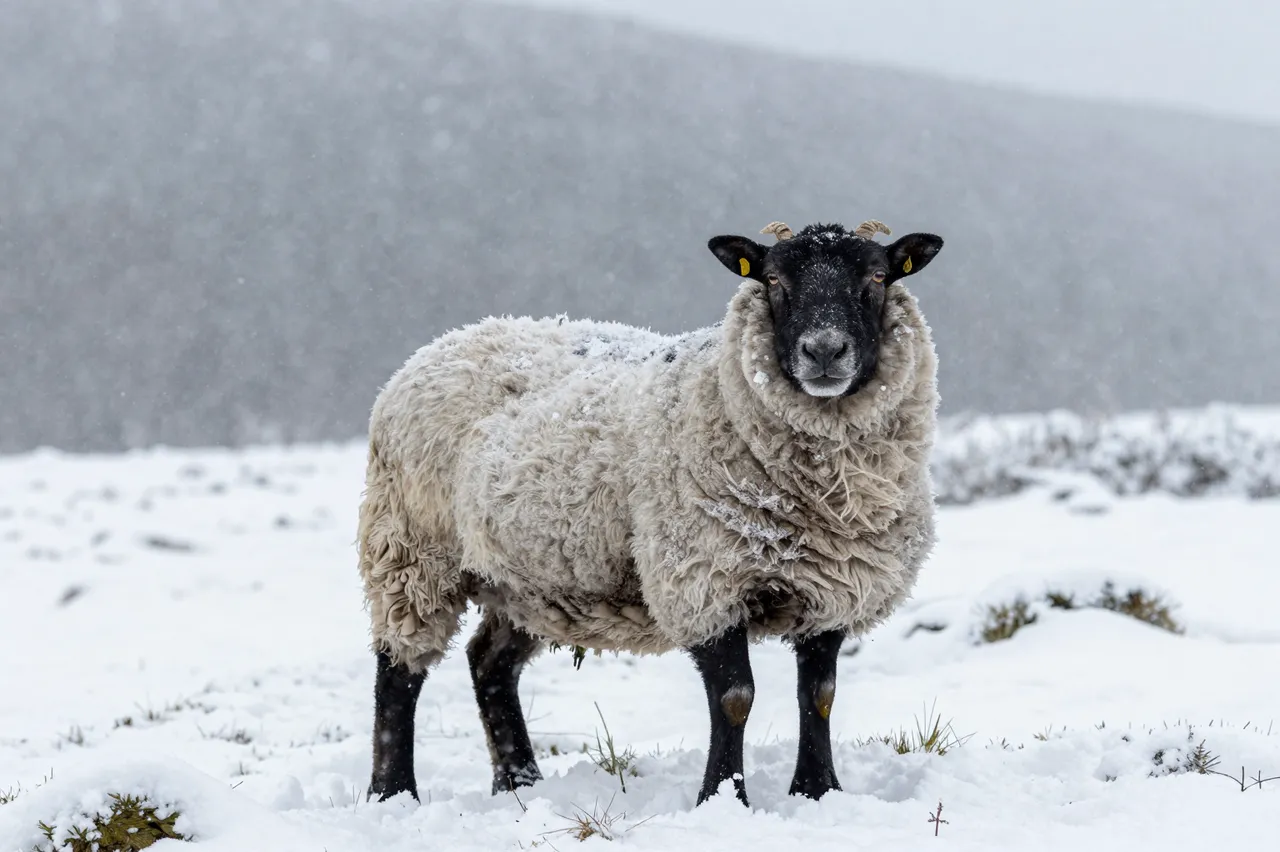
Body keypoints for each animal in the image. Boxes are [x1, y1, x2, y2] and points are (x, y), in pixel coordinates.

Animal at [361, 219, 945, 806]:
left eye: (877, 276)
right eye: (774, 279)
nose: (824, 350)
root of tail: (445, 342)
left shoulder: (835, 589)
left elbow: (820, 694)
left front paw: (817, 791)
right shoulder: (703, 582)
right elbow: (736, 697)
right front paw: (722, 799)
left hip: (528, 579)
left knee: (489, 663)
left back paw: (519, 783)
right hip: (410, 549)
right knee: (400, 671)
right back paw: (393, 793)